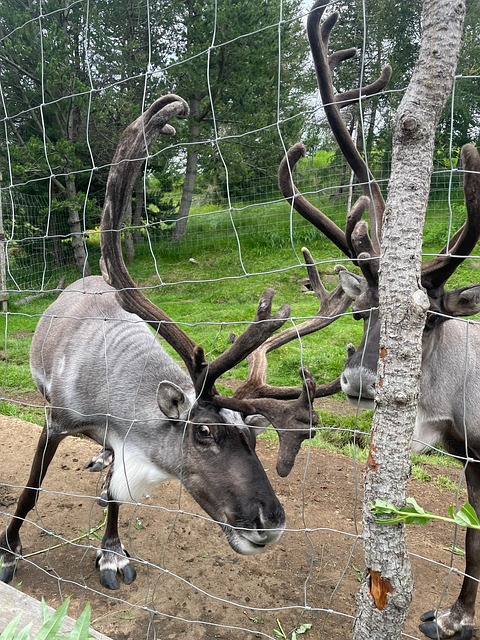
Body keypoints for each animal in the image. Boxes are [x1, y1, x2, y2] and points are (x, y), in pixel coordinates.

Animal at [0, 94, 350, 591]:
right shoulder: (55, 421)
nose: (270, 523)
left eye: (253, 436)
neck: (114, 405)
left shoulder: (122, 444)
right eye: (203, 432)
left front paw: (111, 553)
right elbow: (30, 490)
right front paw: (8, 552)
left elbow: (116, 500)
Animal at [279, 1, 480, 639]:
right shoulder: (471, 455)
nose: (361, 381)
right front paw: (454, 615)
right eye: (364, 310)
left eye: (428, 320)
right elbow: (472, 537)